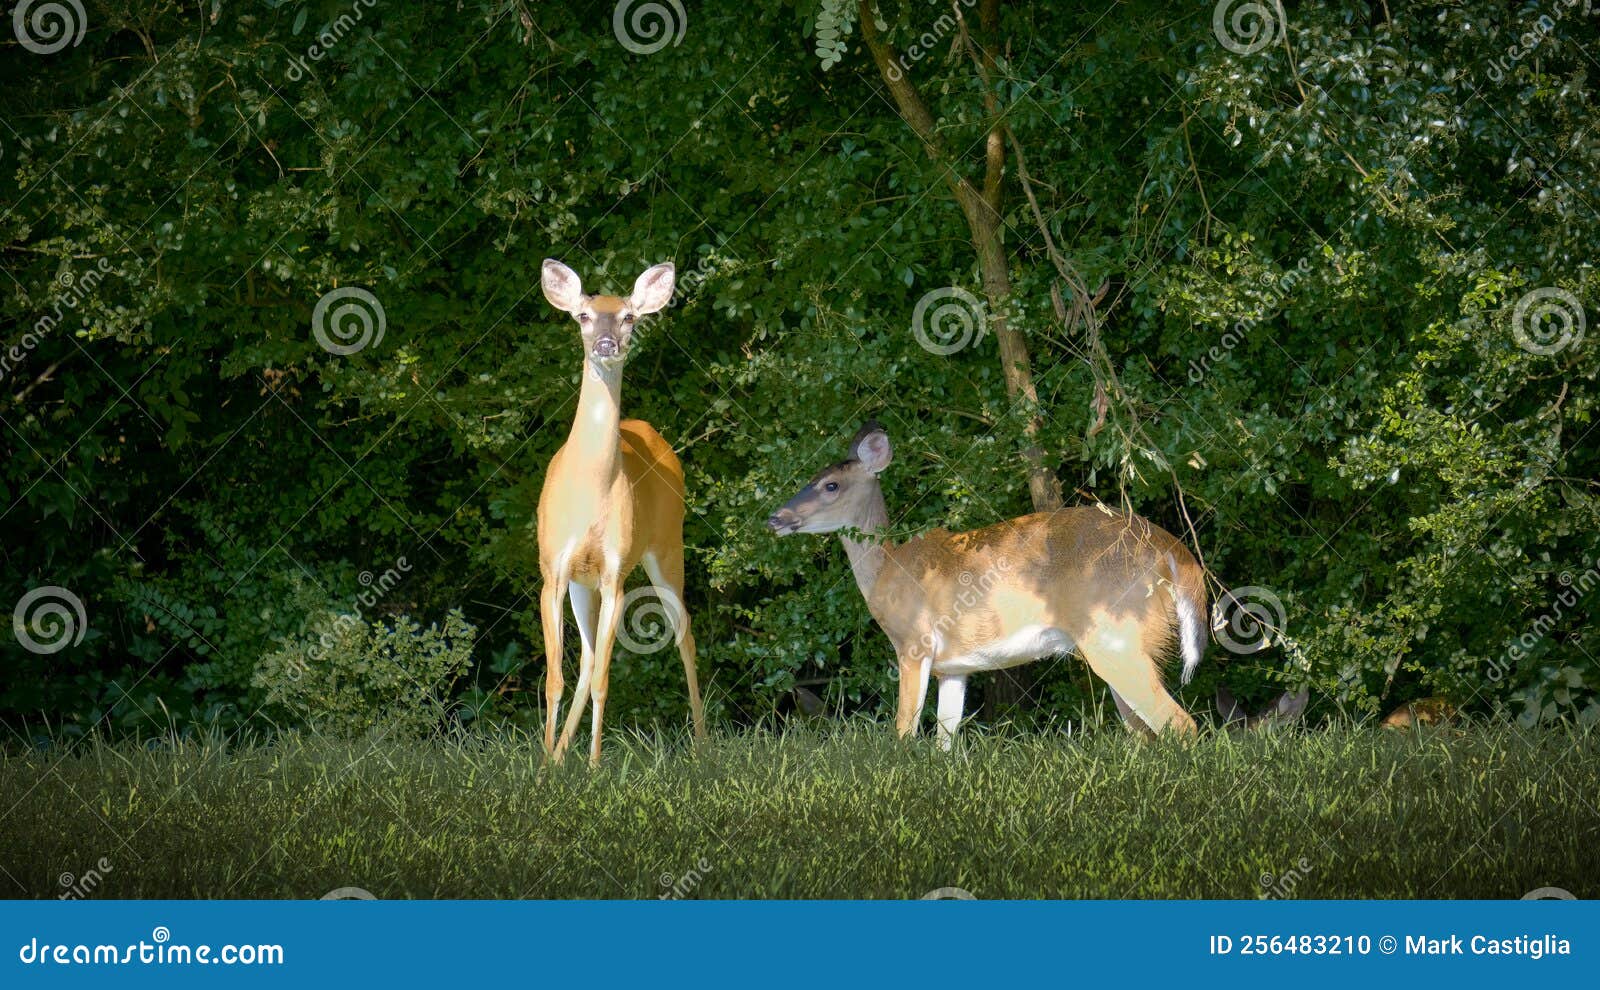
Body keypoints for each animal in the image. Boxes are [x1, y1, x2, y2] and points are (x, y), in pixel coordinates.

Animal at [536, 259, 705, 766]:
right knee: (588, 655)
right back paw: (559, 756)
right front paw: (543, 763)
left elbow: (604, 682)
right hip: (581, 581)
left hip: (666, 546)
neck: (591, 487)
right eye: (584, 316)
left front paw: (593, 766)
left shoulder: (614, 573)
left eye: (629, 317)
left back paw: (703, 745)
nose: (607, 344)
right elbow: (555, 678)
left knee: (685, 633)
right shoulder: (553, 569)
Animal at [767, 421, 1208, 749]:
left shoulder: (913, 643)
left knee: (1181, 725)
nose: (775, 518)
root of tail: (1171, 551)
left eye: (831, 485)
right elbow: (944, 740)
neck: (887, 568)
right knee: (1146, 733)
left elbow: (904, 732)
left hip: (1115, 635)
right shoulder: (954, 667)